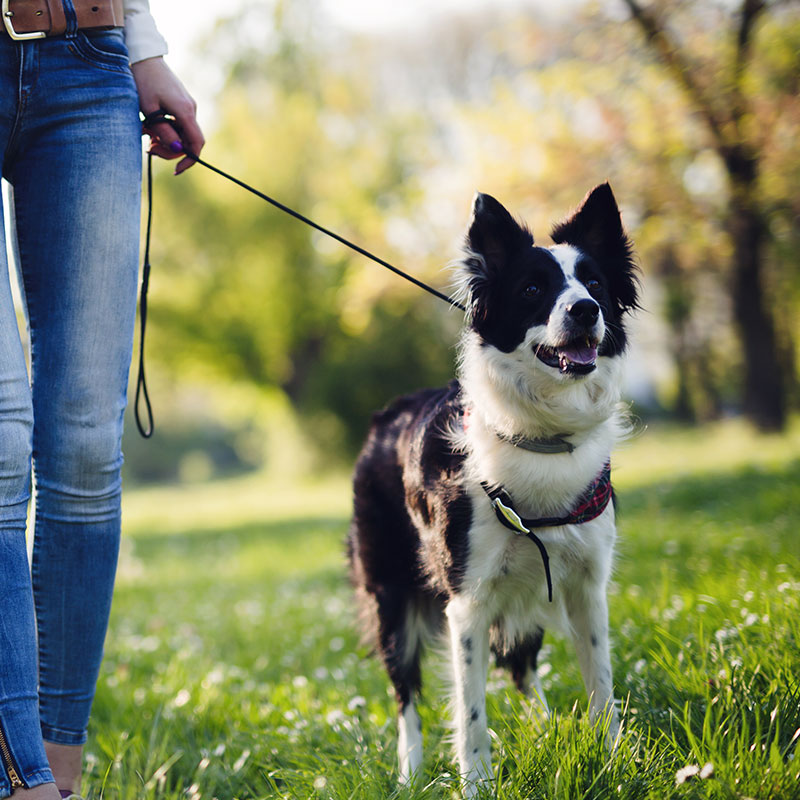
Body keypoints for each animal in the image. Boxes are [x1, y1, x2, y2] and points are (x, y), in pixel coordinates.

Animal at [346, 184, 640, 796]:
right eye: (532, 289)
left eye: (596, 285)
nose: (586, 310)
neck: (543, 435)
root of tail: (384, 417)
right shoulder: (468, 603)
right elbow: (471, 709)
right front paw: (477, 782)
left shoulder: (586, 587)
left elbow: (600, 683)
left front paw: (613, 760)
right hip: (390, 597)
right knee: (405, 693)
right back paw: (410, 771)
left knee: (522, 667)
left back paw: (547, 729)